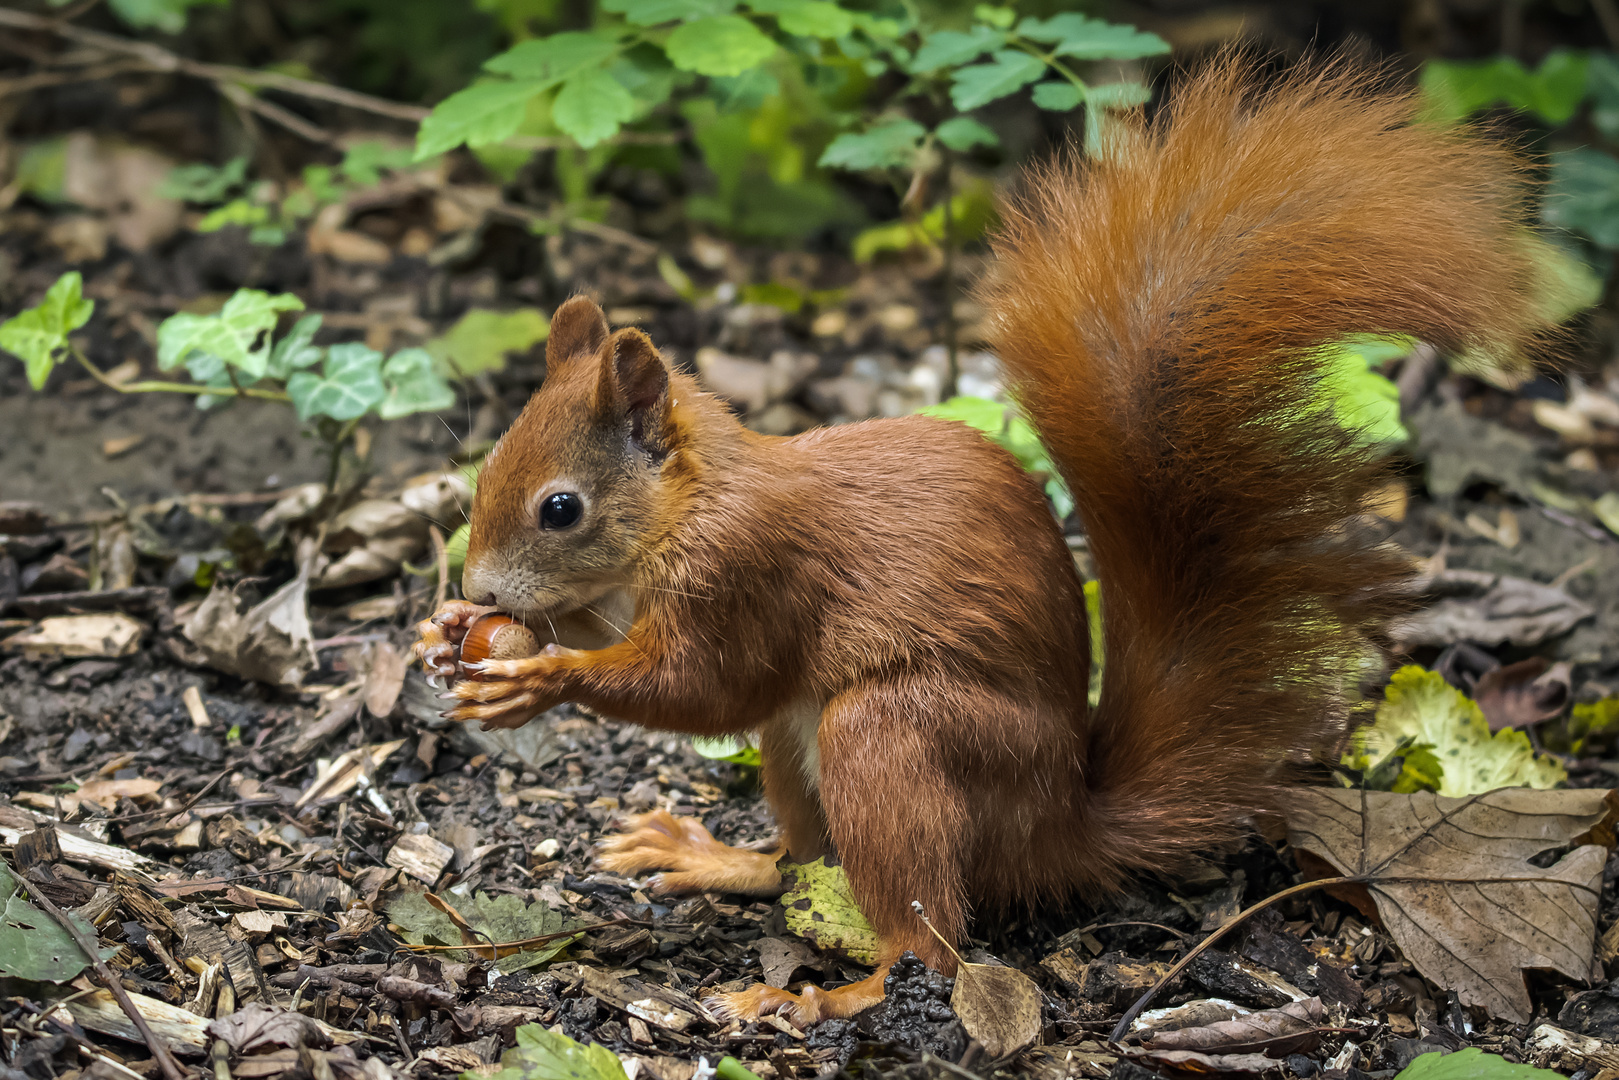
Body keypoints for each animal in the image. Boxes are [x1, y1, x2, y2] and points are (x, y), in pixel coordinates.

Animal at [411, 63, 1547, 1029]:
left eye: (561, 508)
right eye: (490, 465)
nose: (480, 585)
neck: (690, 506)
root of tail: (1059, 823)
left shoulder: (749, 573)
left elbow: (701, 687)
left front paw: (539, 677)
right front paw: (453, 629)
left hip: (897, 736)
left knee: (927, 941)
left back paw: (833, 996)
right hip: (798, 747)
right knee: (800, 863)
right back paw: (715, 860)